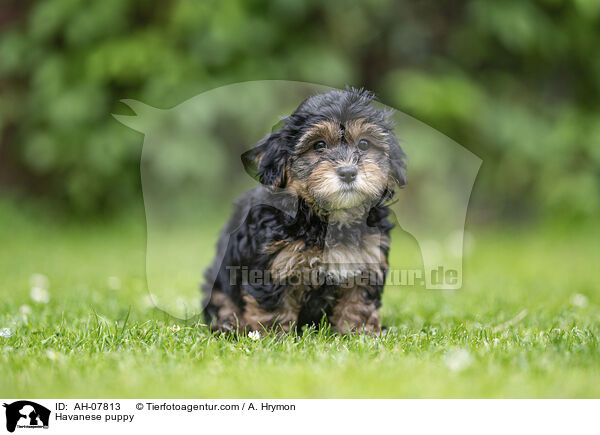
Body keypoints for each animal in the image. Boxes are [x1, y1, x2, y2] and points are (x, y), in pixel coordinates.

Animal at [203, 87, 408, 336]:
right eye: (319, 145)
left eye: (364, 144)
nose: (348, 172)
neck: (326, 217)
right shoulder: (274, 264)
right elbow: (273, 305)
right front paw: (275, 336)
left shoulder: (367, 260)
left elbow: (358, 301)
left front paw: (360, 333)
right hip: (219, 280)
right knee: (223, 302)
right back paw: (229, 325)